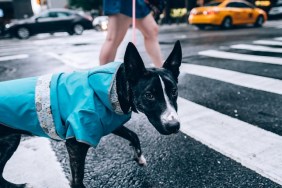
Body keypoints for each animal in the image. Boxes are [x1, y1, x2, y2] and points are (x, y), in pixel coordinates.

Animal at [0, 40, 182, 187]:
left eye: (174, 91)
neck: (114, 86)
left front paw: (139, 157)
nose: (174, 126)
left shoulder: (109, 122)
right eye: (149, 95)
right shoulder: (76, 143)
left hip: (10, 140)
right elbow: (77, 180)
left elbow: (133, 135)